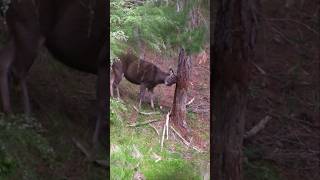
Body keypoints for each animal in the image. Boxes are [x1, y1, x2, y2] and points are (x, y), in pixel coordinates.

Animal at [0, 0, 107, 162]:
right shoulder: (104, 61)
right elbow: (102, 104)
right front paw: (95, 147)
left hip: (18, 27)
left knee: (5, 61)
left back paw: (9, 109)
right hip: (30, 26)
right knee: (18, 70)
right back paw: (27, 117)